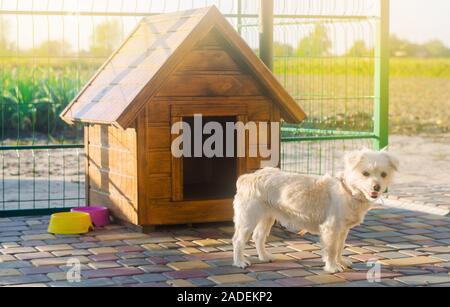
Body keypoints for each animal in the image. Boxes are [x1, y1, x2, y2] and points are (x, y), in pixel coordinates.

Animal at [232, 150, 398, 274]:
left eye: (383, 174)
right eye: (365, 173)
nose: (376, 187)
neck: (349, 190)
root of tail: (248, 177)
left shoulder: (343, 230)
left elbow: (340, 247)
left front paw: (341, 262)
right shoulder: (331, 229)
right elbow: (332, 249)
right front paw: (332, 267)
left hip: (267, 218)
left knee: (258, 237)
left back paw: (264, 257)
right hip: (248, 219)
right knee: (238, 240)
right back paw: (240, 262)